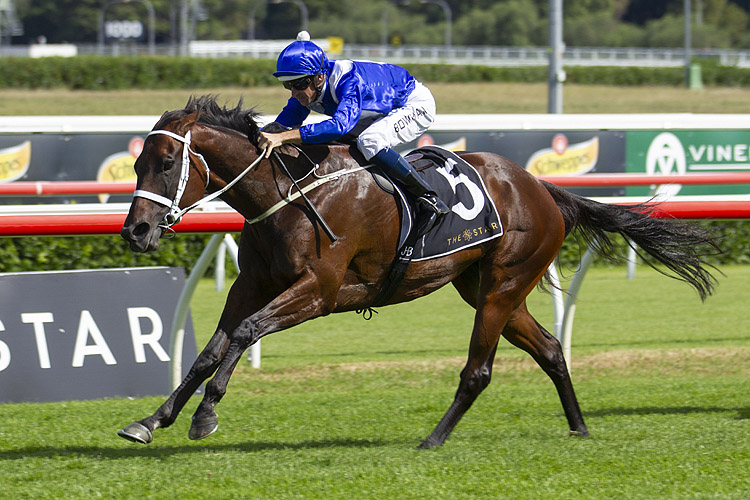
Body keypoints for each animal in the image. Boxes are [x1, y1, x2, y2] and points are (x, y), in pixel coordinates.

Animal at [117, 95, 716, 448]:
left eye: (166, 163)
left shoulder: (319, 290)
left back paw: (432, 440)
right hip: (486, 286)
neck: (287, 194)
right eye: (137, 162)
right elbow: (208, 350)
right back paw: (579, 427)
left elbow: (244, 332)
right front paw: (151, 420)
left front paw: (205, 415)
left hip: (503, 283)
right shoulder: (254, 282)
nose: (136, 231)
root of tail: (542, 188)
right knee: (549, 349)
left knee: (478, 371)